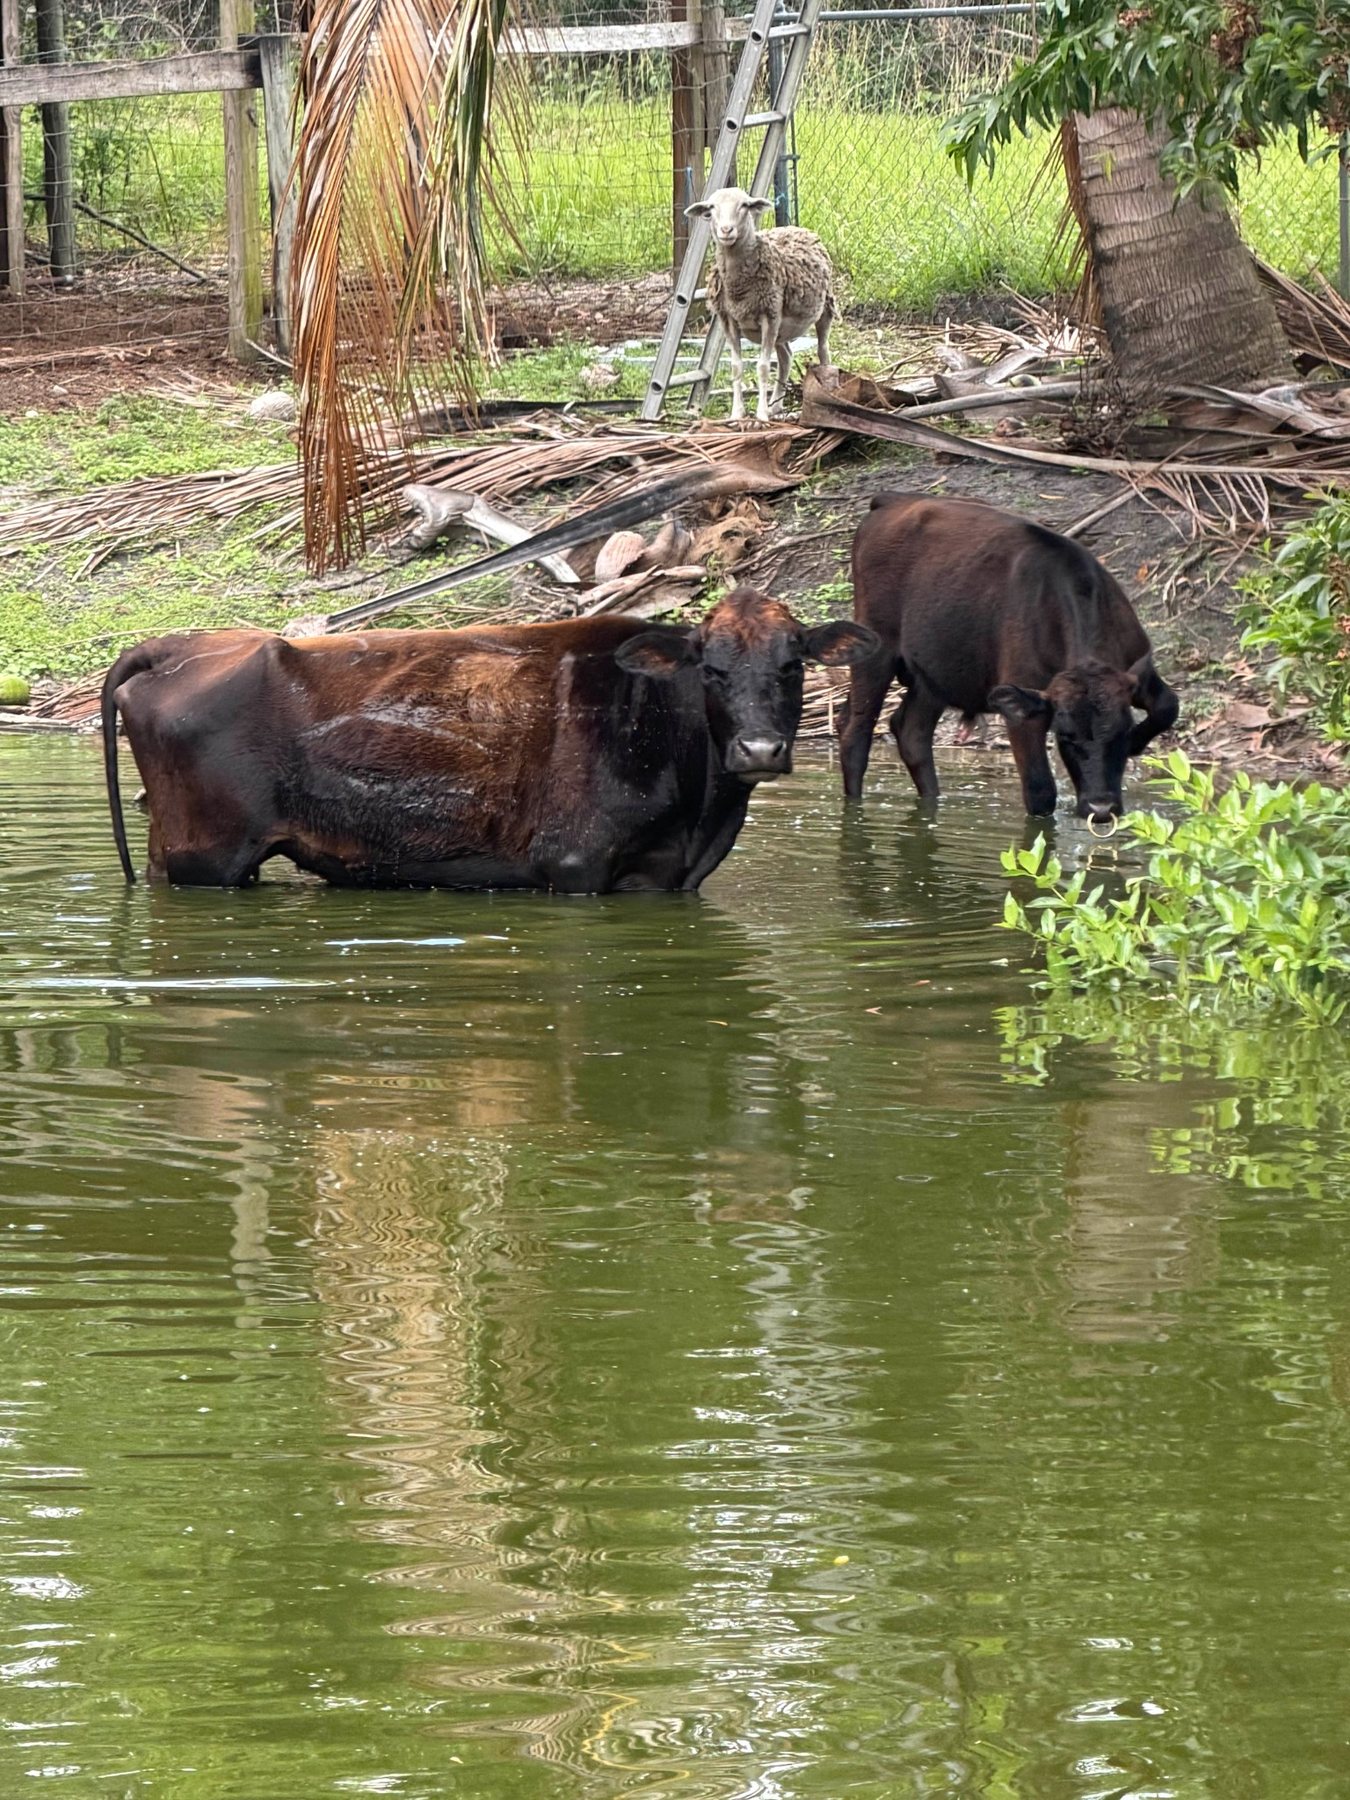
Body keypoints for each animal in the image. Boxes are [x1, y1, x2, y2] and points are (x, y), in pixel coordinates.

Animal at [100, 588, 877, 892]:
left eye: (792, 664)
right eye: (710, 669)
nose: (760, 751)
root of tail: (176, 644)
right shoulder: (575, 868)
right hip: (207, 857)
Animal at [686, 186, 836, 424]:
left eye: (745, 206)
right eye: (711, 207)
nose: (726, 230)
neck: (739, 290)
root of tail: (794, 227)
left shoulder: (769, 316)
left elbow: (763, 367)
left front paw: (761, 415)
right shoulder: (729, 319)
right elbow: (736, 367)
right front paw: (737, 413)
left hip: (823, 310)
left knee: (823, 352)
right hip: (781, 328)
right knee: (785, 357)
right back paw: (776, 405)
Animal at [838, 494, 1180, 822]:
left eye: (1122, 731)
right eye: (1065, 736)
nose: (1101, 808)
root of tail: (891, 500)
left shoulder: (1138, 672)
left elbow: (1168, 706)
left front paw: (1138, 742)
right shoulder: (1023, 712)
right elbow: (1040, 791)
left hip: (934, 676)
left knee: (912, 733)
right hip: (874, 649)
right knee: (856, 734)